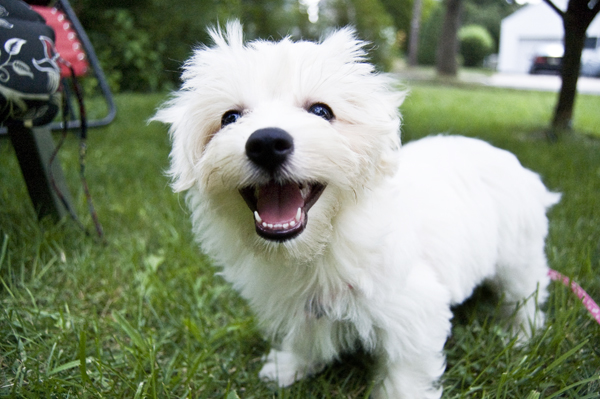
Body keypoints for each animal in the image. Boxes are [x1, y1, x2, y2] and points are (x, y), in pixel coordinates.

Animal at [152, 21, 560, 399]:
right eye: (230, 118)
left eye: (321, 111)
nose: (266, 142)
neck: (323, 242)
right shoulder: (304, 305)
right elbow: (304, 338)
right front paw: (289, 367)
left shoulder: (413, 310)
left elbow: (405, 372)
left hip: (519, 257)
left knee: (527, 295)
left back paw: (520, 336)